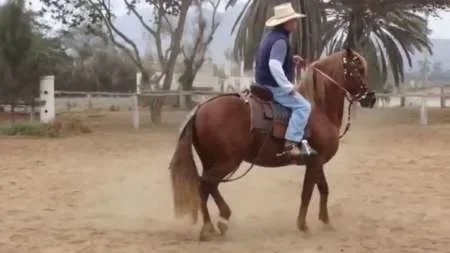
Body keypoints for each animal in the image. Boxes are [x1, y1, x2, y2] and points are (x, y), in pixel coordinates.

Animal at [168, 48, 376, 240]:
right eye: (358, 68)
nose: (371, 98)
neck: (319, 110)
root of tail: (201, 108)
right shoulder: (315, 162)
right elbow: (307, 192)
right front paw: (303, 226)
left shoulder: (317, 162)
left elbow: (323, 189)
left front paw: (326, 222)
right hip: (227, 162)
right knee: (205, 186)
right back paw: (209, 226)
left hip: (213, 161)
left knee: (209, 187)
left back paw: (220, 221)